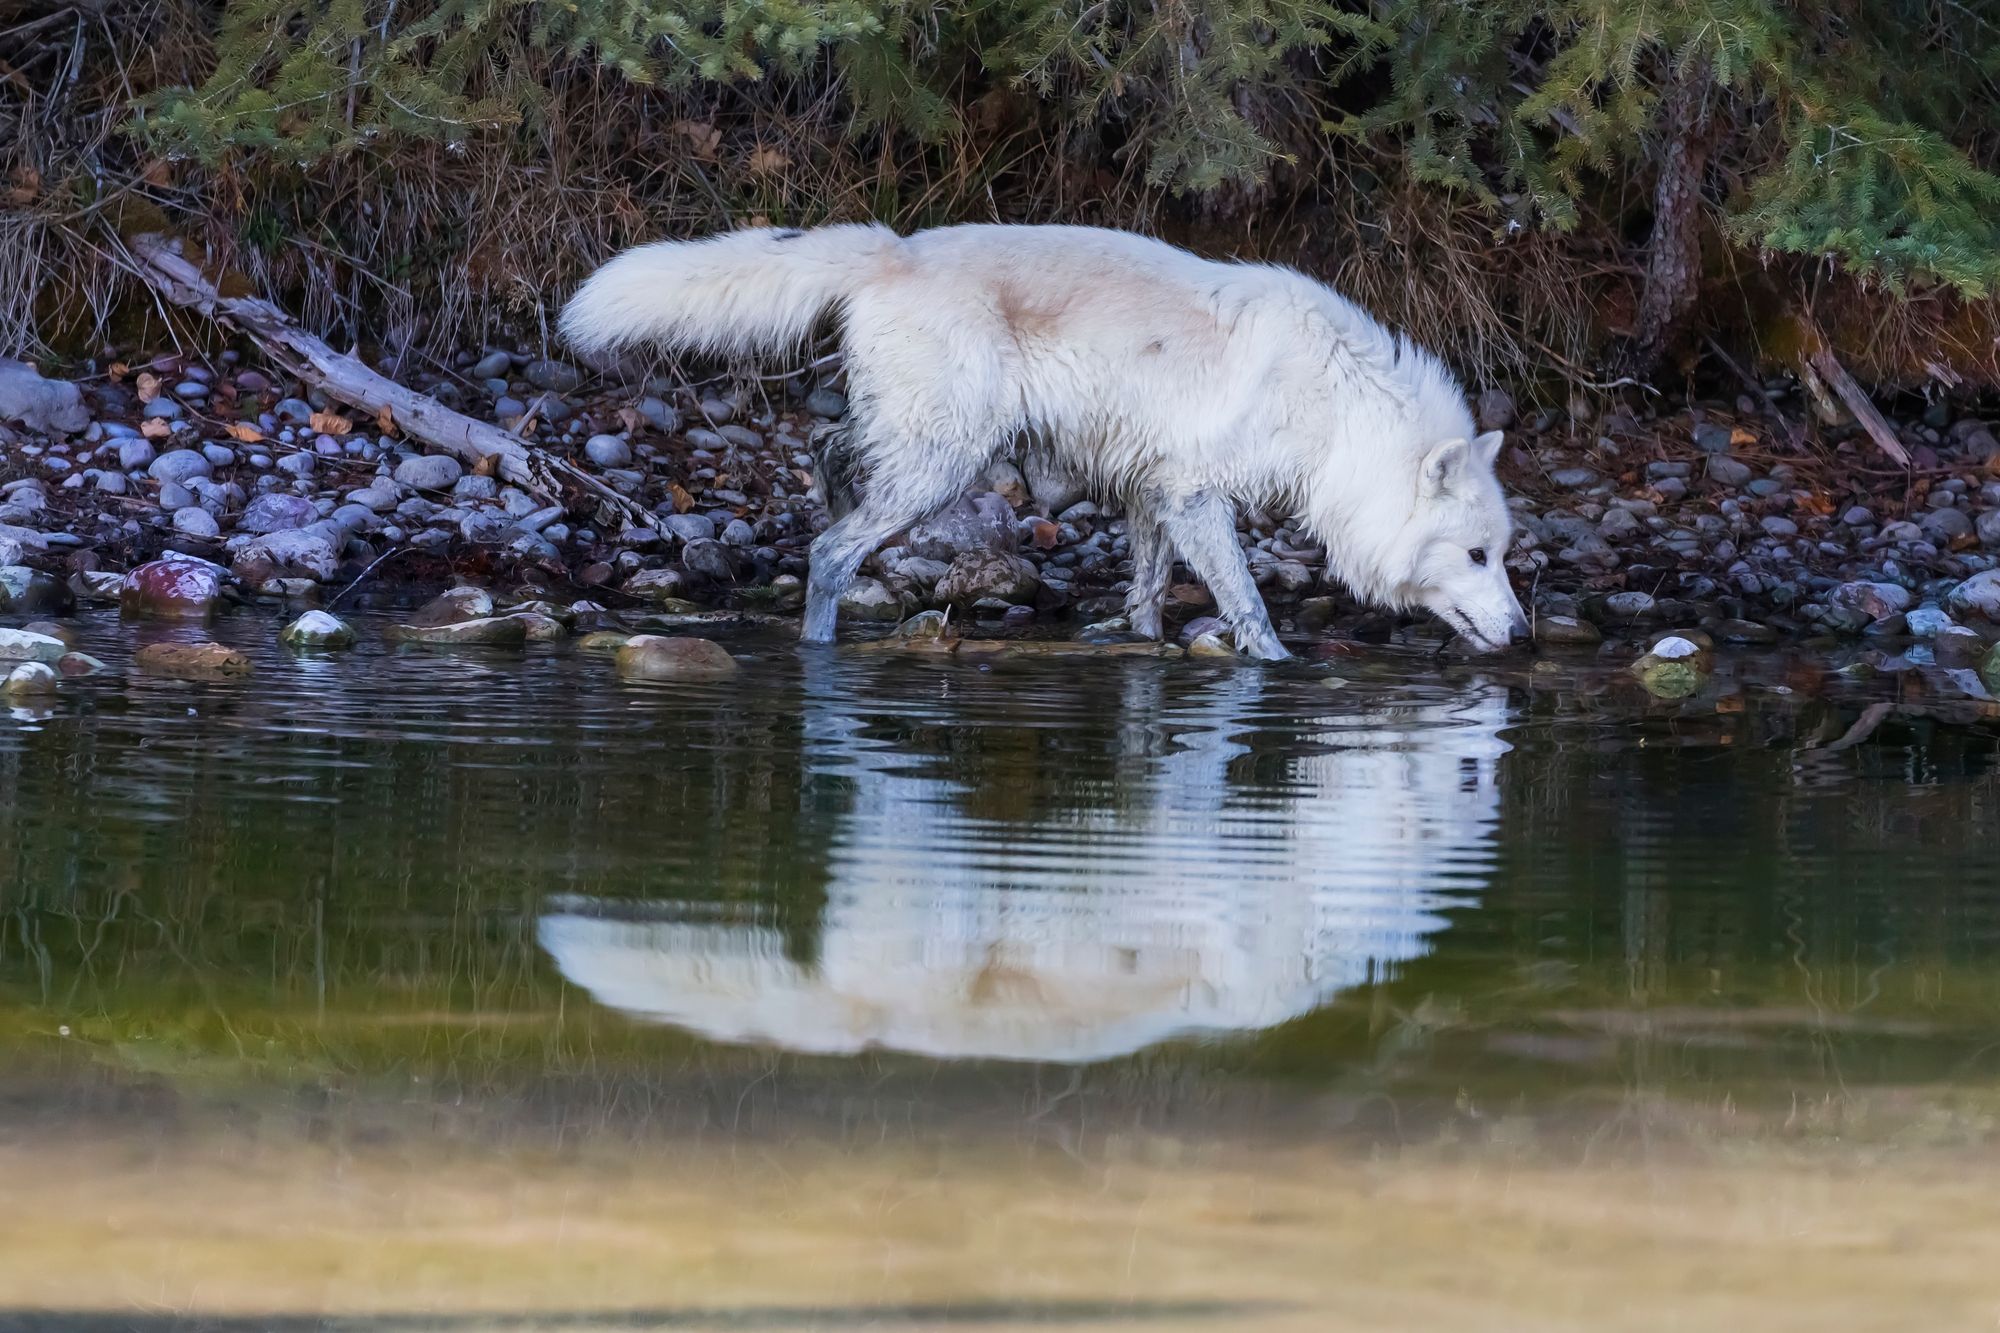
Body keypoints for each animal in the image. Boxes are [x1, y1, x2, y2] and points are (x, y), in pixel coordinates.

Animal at [556, 224, 1520, 660]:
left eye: (1502, 556)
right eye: (1476, 555)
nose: (1520, 633)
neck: (1341, 409)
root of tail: (891, 247)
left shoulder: (1153, 493)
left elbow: (1146, 593)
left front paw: (1139, 646)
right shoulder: (1197, 495)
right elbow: (1246, 601)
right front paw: (1275, 669)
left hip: (920, 442)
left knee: (828, 454)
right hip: (945, 463)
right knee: (830, 548)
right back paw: (820, 641)